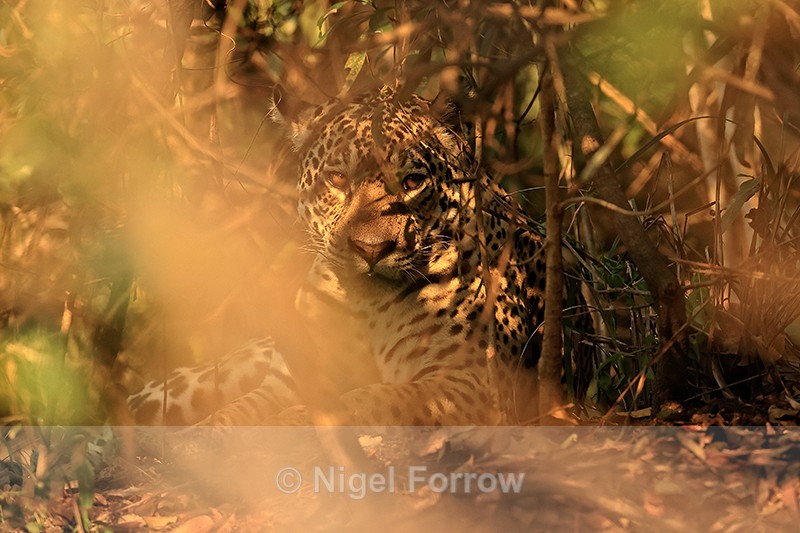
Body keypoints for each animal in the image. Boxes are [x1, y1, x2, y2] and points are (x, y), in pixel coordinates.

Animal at [126, 86, 593, 426]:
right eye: (336, 178)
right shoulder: (286, 380)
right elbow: (237, 412)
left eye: (412, 181)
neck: (367, 309)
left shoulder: (473, 381)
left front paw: (295, 421)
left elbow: (375, 399)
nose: (371, 249)